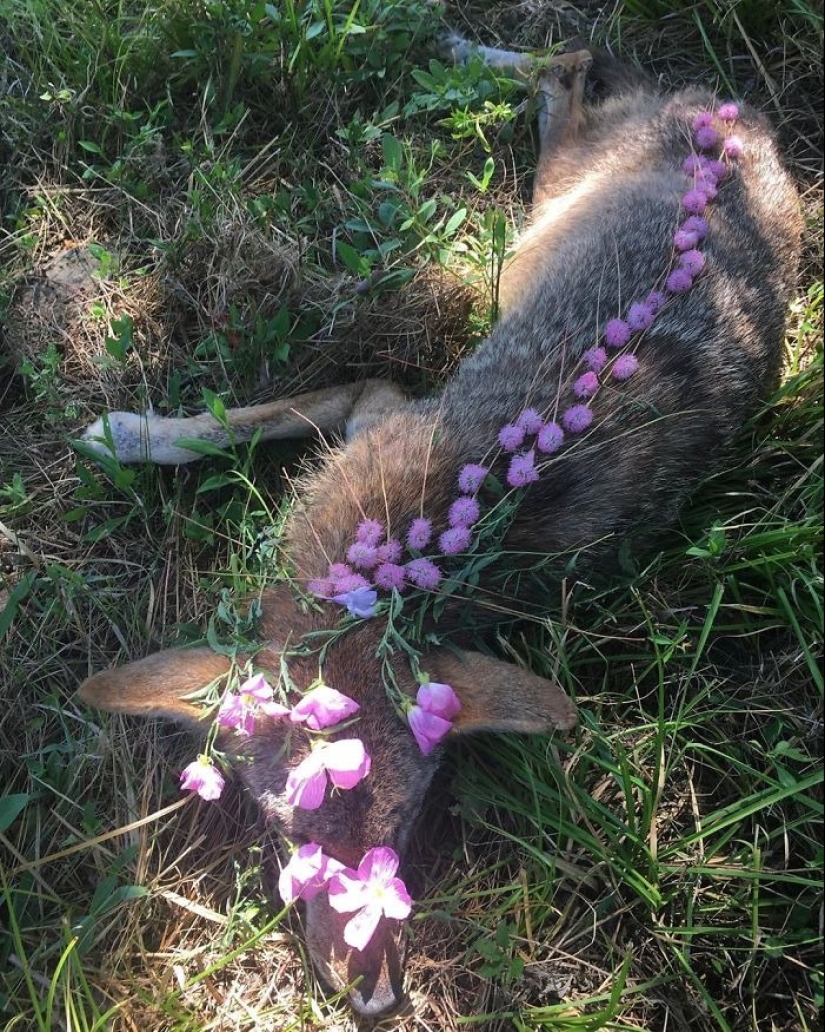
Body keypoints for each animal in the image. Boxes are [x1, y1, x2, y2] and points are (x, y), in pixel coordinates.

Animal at [75, 34, 801, 1015]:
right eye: (285, 838)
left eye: (409, 826)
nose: (377, 1004)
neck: (404, 546)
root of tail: (735, 122)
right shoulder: (373, 407)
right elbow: (242, 420)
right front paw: (131, 435)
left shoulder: (376, 407)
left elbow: (255, 416)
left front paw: (128, 434)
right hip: (552, 183)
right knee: (566, 63)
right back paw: (462, 52)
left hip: (554, 184)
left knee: (565, 64)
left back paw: (467, 53)